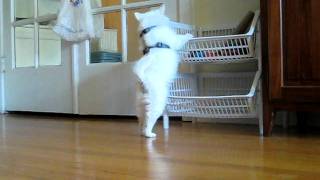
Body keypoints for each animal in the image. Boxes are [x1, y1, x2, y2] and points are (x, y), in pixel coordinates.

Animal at [132, 5, 192, 138]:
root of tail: (142, 79)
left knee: (141, 119)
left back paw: (142, 131)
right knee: (149, 119)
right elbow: (181, 38)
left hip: (140, 103)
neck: (150, 28)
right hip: (158, 103)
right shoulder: (174, 40)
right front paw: (189, 35)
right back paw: (149, 134)